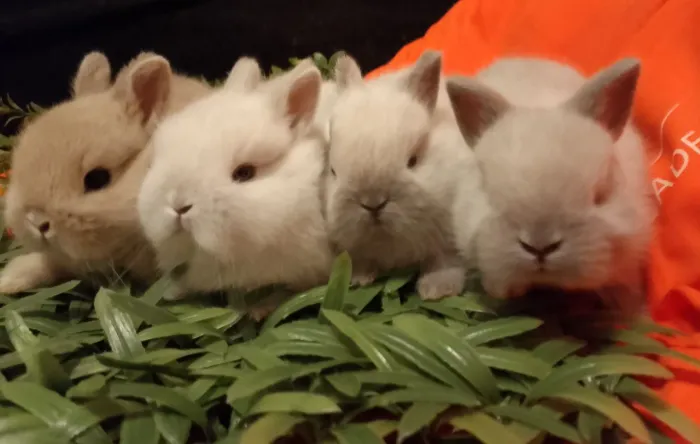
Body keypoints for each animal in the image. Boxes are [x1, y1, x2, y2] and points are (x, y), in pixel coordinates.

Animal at [324, 50, 475, 300]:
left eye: (413, 161)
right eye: (333, 170)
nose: (373, 203)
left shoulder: (449, 238)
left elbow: (446, 261)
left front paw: (437, 290)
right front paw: (359, 279)